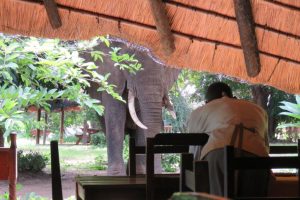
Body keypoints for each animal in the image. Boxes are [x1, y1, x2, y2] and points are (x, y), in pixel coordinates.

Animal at [82, 38, 180, 175]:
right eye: (128, 65)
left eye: (166, 67)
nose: (159, 171)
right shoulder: (112, 78)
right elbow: (116, 116)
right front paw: (116, 176)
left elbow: (142, 122)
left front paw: (139, 174)